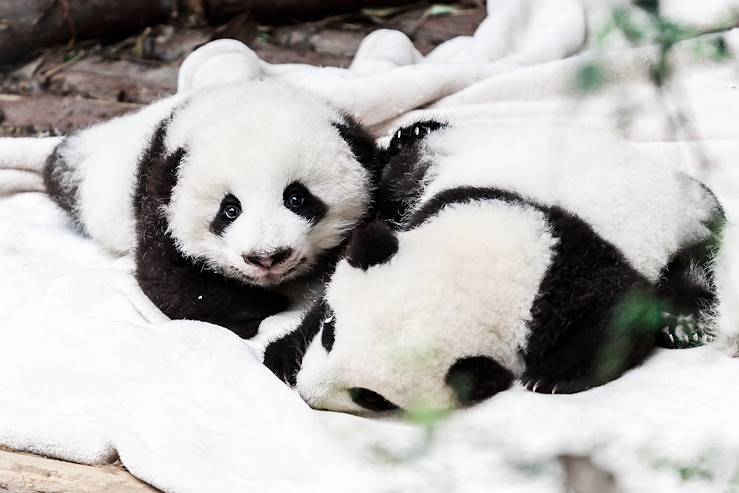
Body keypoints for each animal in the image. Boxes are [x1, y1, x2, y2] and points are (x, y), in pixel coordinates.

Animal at [0, 80, 382, 338]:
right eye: (229, 210)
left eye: (296, 198)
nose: (266, 257)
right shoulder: (159, 196)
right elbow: (170, 282)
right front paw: (256, 311)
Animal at [264, 118, 724, 412]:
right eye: (330, 334)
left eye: (370, 396)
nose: (307, 394)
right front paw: (283, 355)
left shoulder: (568, 269)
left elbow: (623, 309)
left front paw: (552, 375)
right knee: (400, 170)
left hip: (689, 221)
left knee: (696, 269)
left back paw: (684, 322)